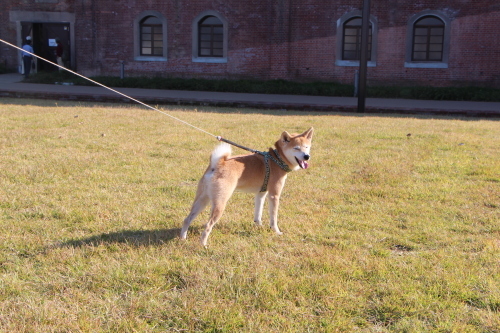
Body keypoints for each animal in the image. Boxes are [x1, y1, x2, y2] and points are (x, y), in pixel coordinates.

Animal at [180, 128, 312, 245]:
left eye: (307, 147)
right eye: (296, 148)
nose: (307, 156)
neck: (276, 159)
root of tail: (217, 164)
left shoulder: (261, 194)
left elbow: (258, 213)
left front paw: (259, 226)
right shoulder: (274, 195)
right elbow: (273, 217)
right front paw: (276, 231)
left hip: (203, 199)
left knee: (187, 219)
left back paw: (182, 239)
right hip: (220, 203)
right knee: (208, 225)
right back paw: (203, 244)